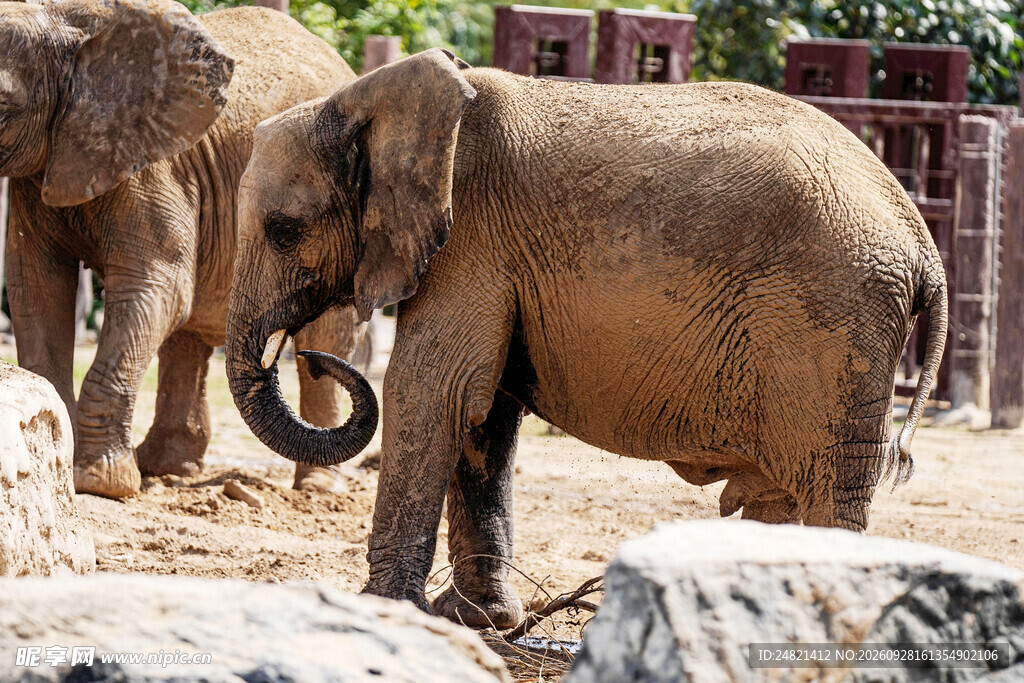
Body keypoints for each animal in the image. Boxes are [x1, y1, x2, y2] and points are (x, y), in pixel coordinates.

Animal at [0, 0, 367, 498]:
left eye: (1, 105)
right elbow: (37, 288)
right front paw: (65, 463)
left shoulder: (154, 166)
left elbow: (155, 288)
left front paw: (98, 483)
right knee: (188, 333)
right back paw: (167, 468)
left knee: (325, 338)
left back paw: (317, 489)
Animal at [224, 50, 947, 628]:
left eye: (284, 230)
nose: (311, 353)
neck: (369, 98)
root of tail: (924, 248)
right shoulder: (494, 257)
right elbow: (483, 414)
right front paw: (479, 620)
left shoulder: (470, 241)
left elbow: (434, 393)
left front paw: (386, 612)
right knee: (782, 494)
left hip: (834, 324)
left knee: (828, 488)